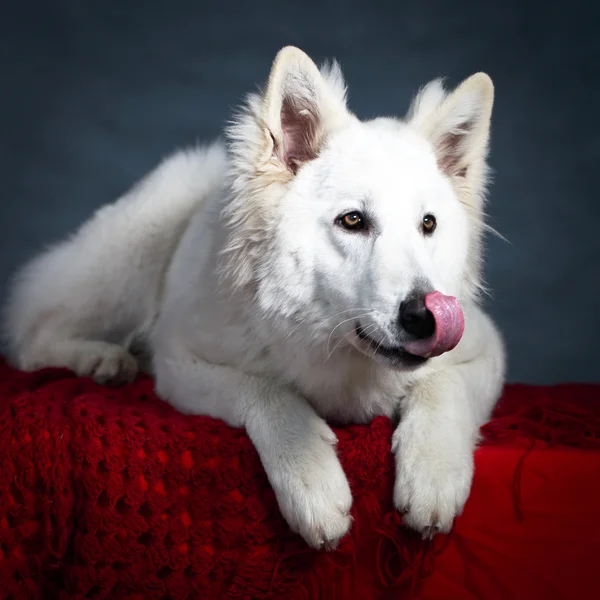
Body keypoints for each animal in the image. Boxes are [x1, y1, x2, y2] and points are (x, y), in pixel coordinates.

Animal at [3, 48, 506, 548]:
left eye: (428, 224)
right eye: (352, 220)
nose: (425, 317)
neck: (336, 346)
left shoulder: (485, 350)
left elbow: (443, 387)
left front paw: (433, 478)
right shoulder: (180, 361)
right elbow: (266, 390)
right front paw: (313, 481)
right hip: (132, 256)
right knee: (35, 335)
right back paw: (100, 360)